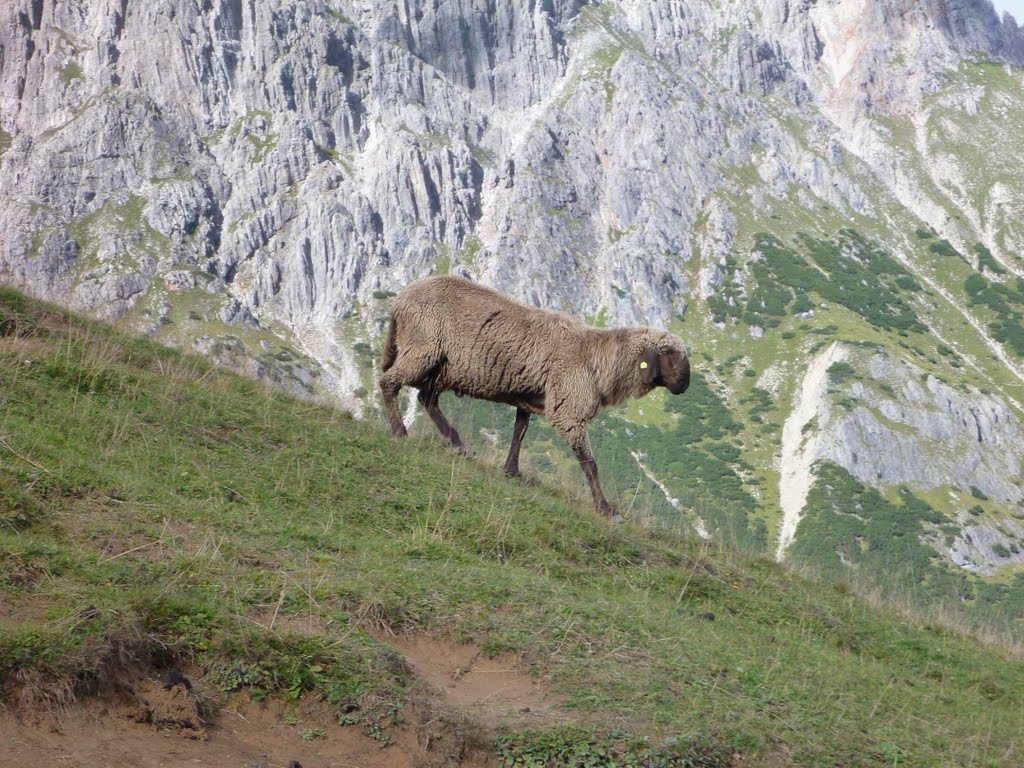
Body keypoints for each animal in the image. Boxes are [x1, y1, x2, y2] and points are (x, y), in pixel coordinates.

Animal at [380, 274, 692, 520]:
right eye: (670, 354)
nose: (685, 386)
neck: (597, 361)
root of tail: (401, 299)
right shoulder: (568, 410)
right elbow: (590, 464)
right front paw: (605, 509)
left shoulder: (529, 397)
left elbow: (519, 433)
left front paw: (511, 470)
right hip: (423, 348)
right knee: (389, 383)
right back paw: (400, 431)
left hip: (442, 366)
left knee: (427, 399)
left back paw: (458, 444)